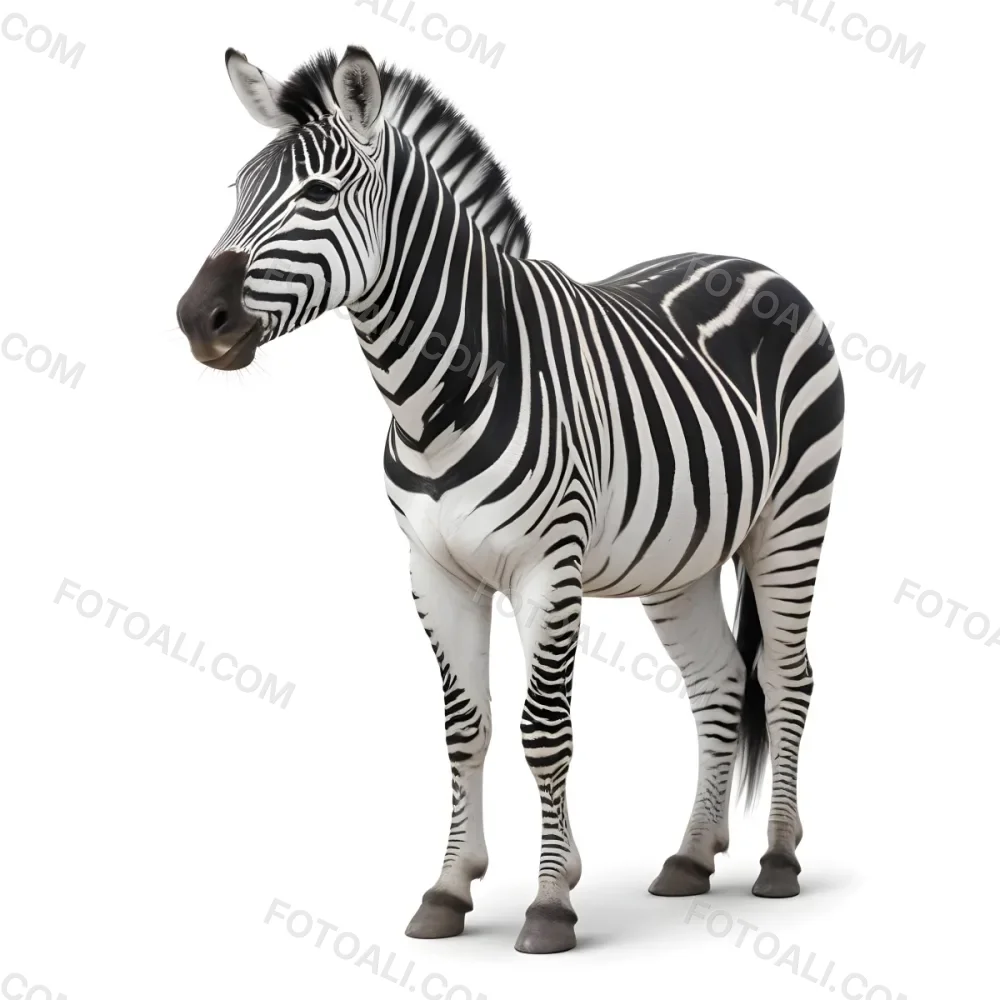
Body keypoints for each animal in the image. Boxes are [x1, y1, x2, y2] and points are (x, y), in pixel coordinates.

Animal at [176, 45, 845, 954]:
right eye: (238, 190)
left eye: (317, 194)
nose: (194, 319)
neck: (436, 396)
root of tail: (752, 263)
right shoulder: (433, 572)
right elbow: (466, 728)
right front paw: (449, 888)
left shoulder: (546, 571)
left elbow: (543, 731)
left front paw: (551, 901)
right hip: (683, 558)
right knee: (717, 680)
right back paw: (690, 857)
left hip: (793, 519)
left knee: (785, 677)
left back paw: (778, 859)